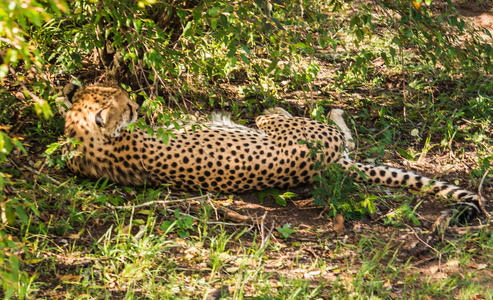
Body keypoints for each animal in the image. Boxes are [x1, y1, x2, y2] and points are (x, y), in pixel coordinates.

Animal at [62, 84, 480, 220]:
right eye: (125, 106)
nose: (137, 104)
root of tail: (332, 167)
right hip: (303, 134)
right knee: (331, 132)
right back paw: (317, 110)